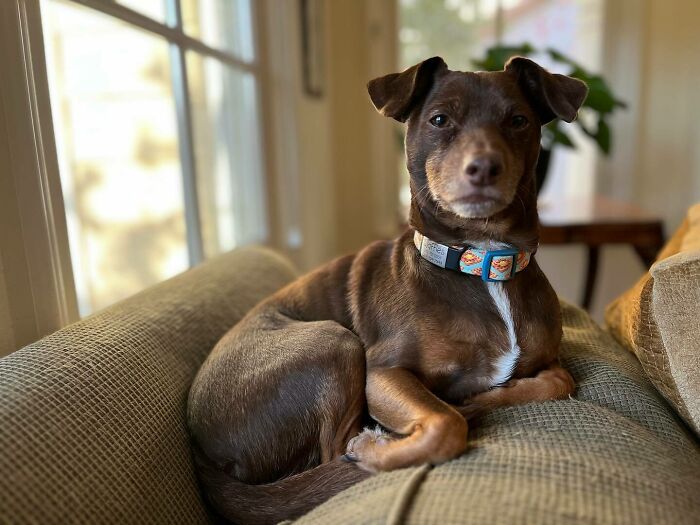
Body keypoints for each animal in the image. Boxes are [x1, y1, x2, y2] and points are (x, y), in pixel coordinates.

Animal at [186, 55, 584, 520]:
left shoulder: (552, 361)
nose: (484, 167)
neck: (484, 265)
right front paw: (379, 447)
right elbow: (447, 424)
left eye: (518, 120)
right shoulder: (384, 373)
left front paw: (496, 392)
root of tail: (200, 451)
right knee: (335, 451)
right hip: (332, 341)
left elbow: (560, 382)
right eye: (439, 119)